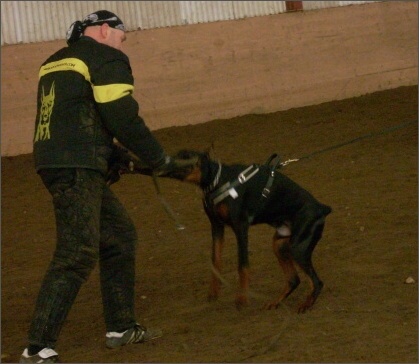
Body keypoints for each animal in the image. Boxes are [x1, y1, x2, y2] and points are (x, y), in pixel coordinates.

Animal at [135, 149, 332, 314]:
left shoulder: (240, 226)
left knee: (317, 282)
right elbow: (215, 260)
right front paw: (213, 291)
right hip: (280, 244)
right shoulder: (216, 226)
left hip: (298, 247)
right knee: (293, 280)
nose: (159, 162)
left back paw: (306, 304)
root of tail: (322, 208)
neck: (218, 181)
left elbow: (242, 264)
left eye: (185, 157)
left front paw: (241, 299)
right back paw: (275, 302)